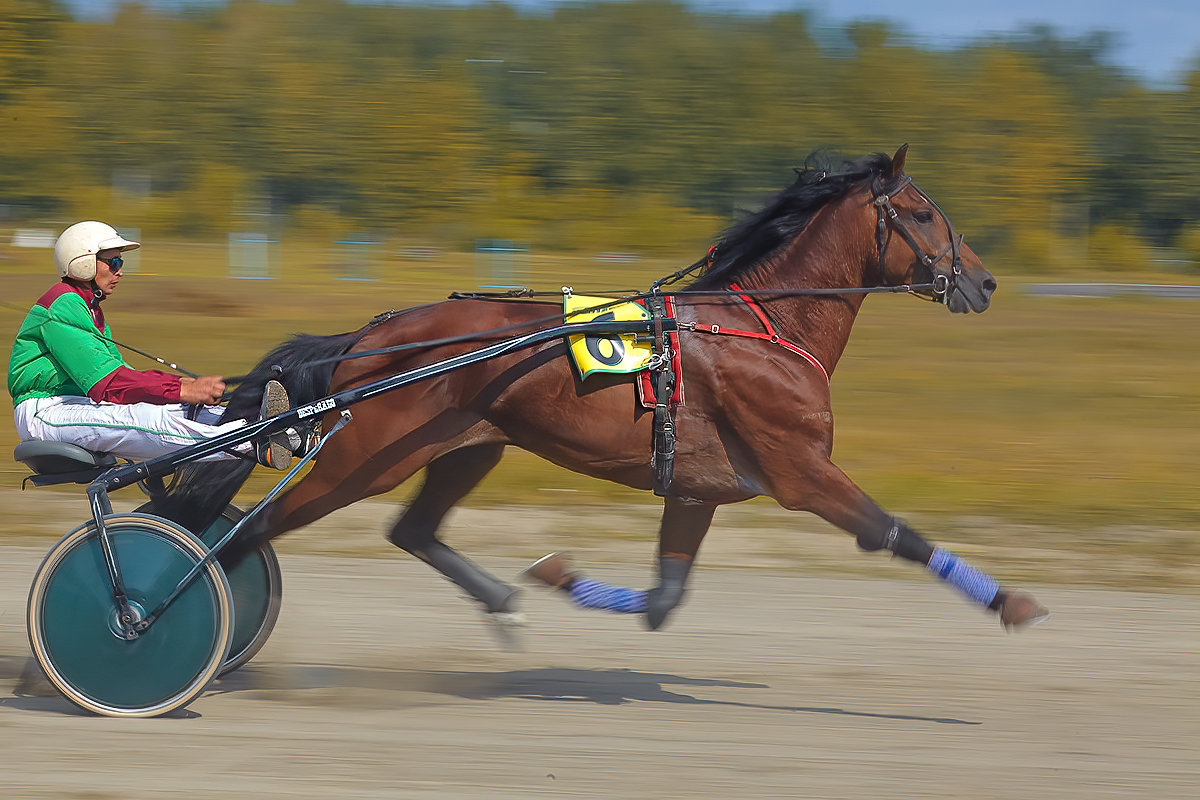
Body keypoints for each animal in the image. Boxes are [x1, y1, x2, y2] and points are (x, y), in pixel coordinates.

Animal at [147, 146, 1051, 638]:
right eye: (924, 213)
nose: (983, 281)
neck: (764, 325)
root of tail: (374, 335)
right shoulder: (801, 471)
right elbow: (892, 532)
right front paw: (1011, 601)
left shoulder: (700, 485)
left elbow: (664, 600)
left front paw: (557, 576)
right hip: (362, 457)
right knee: (246, 535)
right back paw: (161, 621)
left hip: (463, 446)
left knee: (412, 530)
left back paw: (504, 604)